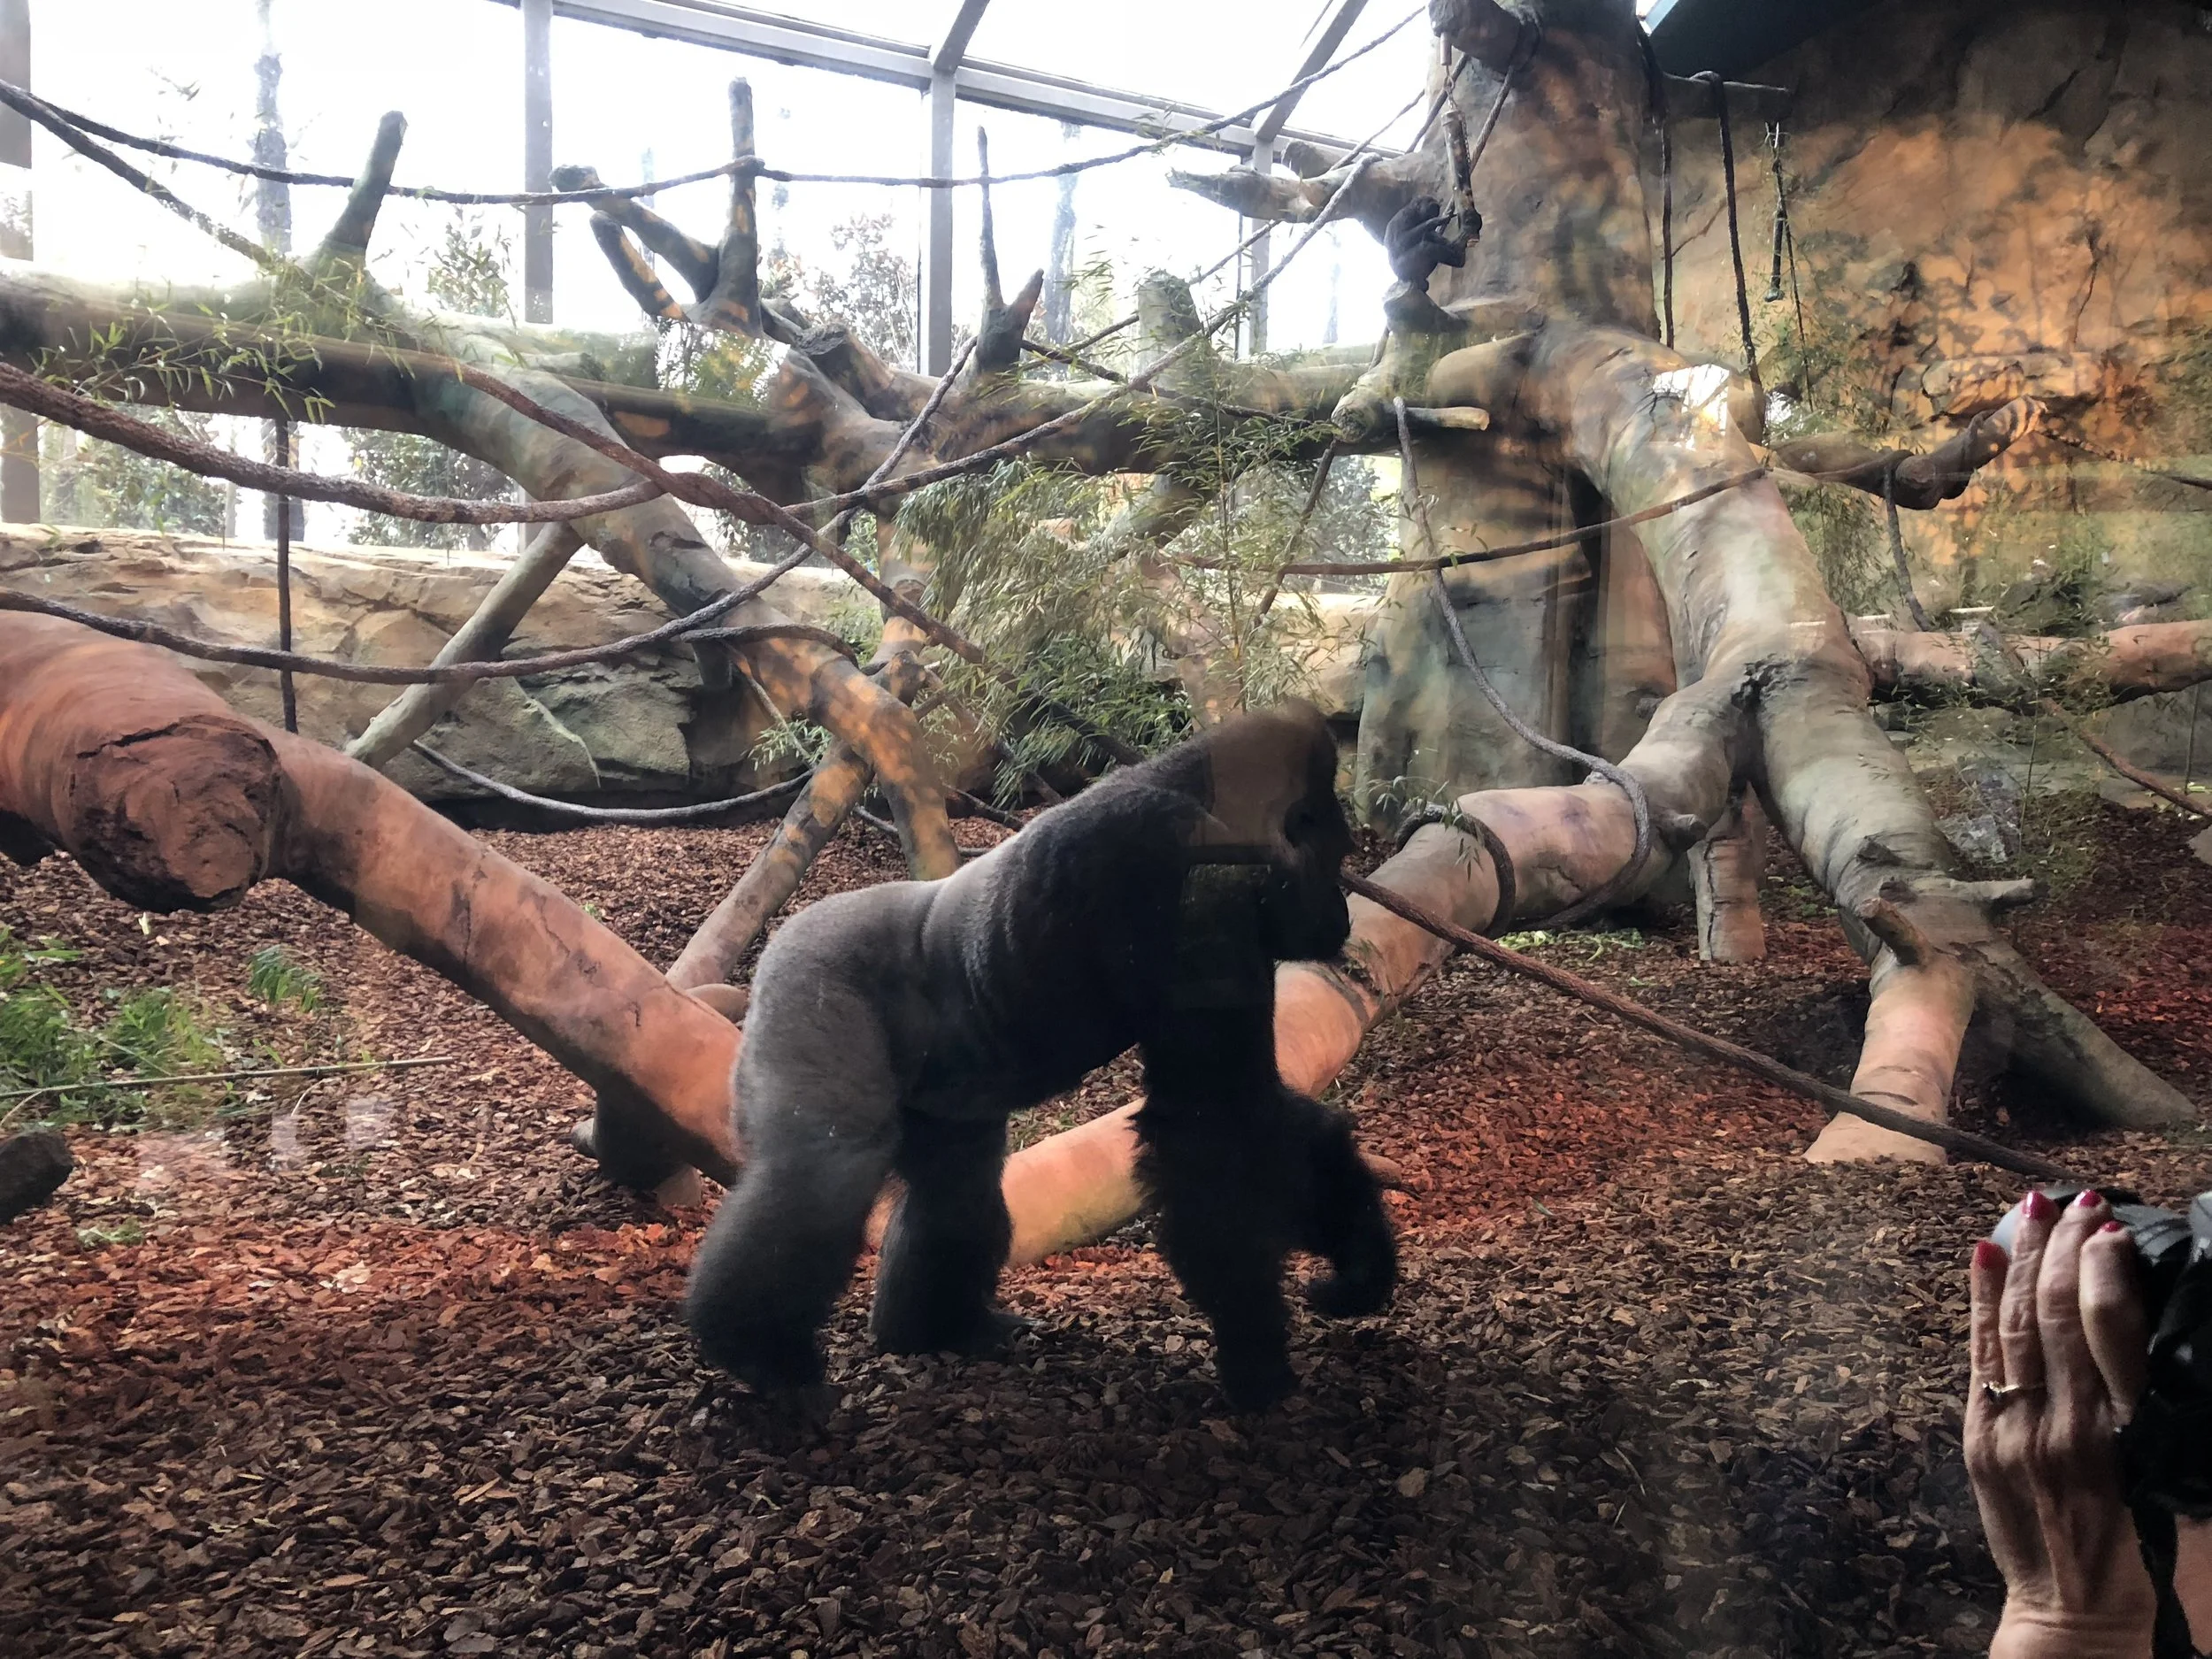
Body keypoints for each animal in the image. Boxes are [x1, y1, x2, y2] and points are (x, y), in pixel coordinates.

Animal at [682, 702, 1397, 1410]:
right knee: (825, 1168)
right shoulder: (1178, 866)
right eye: (1334, 857)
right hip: (811, 969)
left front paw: (1357, 1256)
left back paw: (935, 1328)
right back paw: (758, 1349)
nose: (1339, 919)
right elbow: (1213, 1126)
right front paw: (1257, 1351)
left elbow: (1252, 1113)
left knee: (956, 1180)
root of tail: (790, 927)